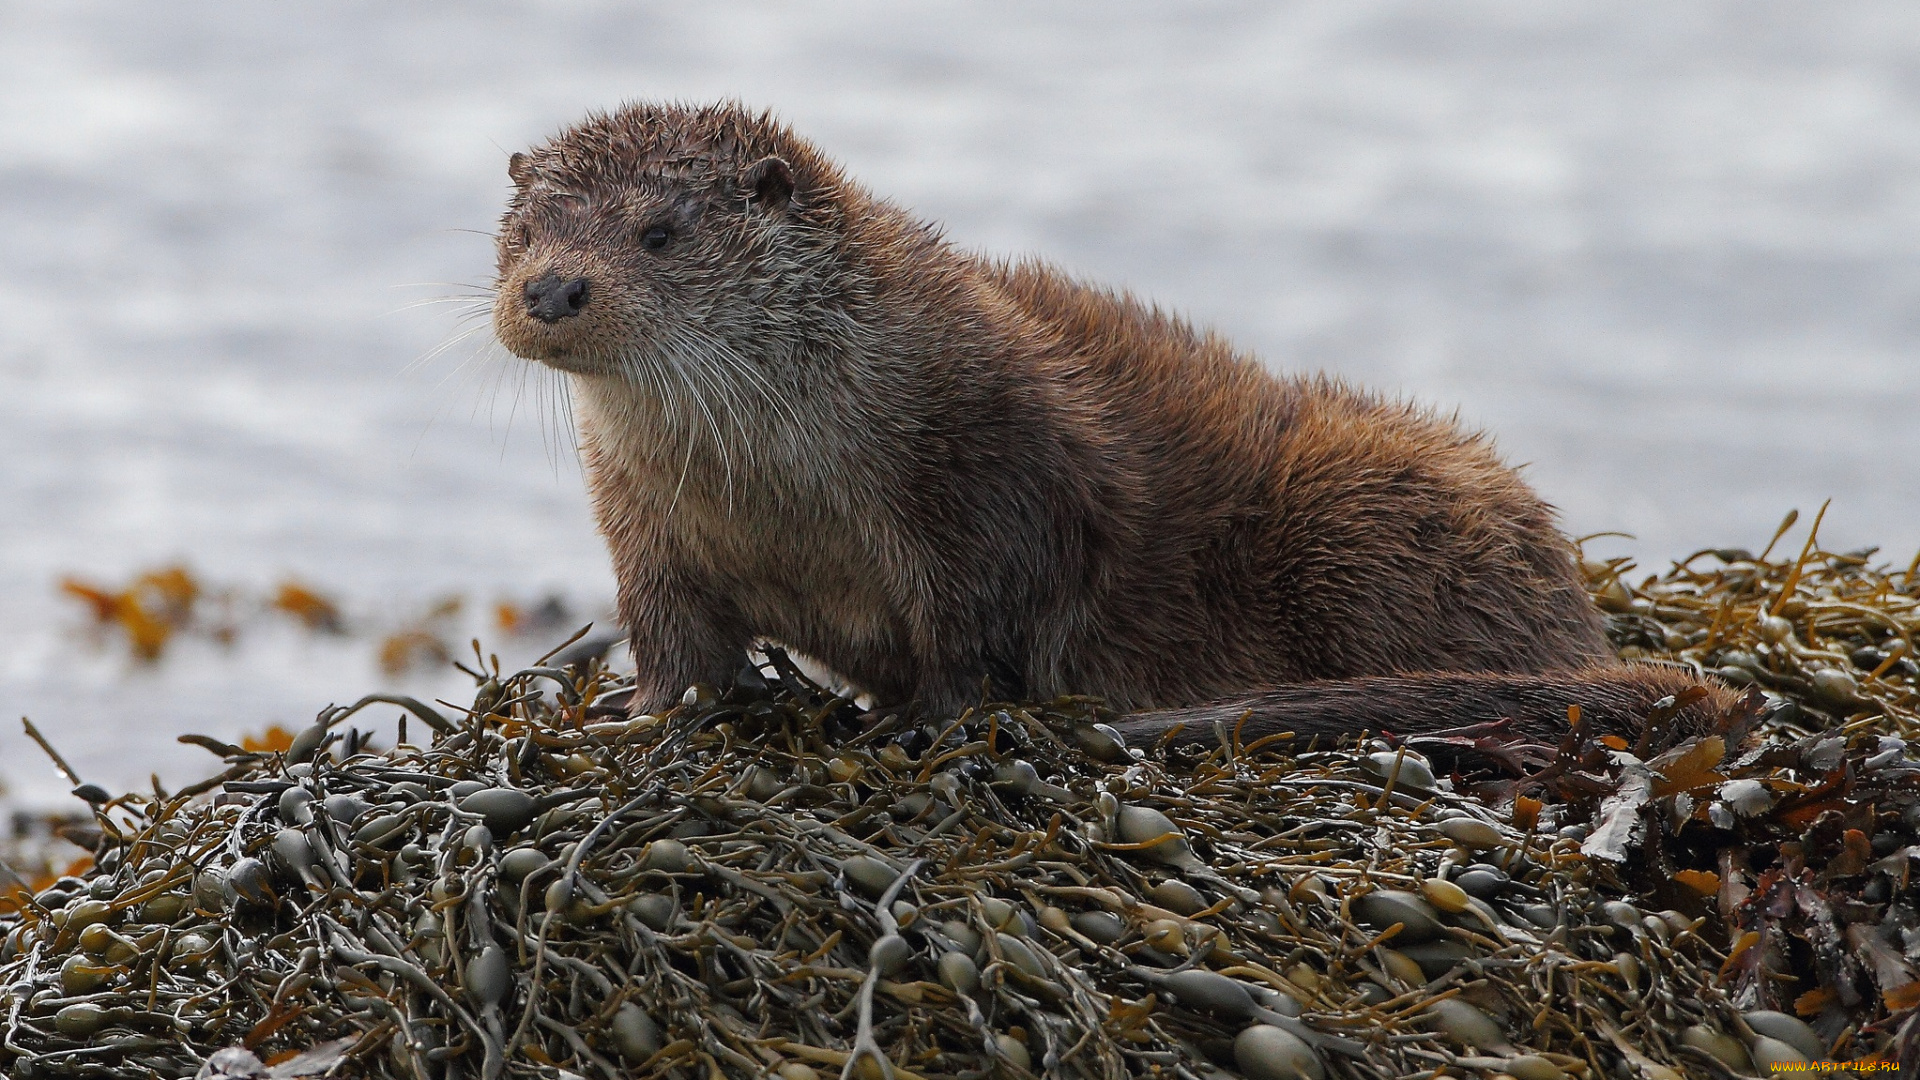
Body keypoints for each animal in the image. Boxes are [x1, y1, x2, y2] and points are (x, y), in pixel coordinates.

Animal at [487, 100, 1735, 737]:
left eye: (658, 234)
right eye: (525, 230)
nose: (552, 289)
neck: (776, 486)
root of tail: (1573, 608)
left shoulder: (988, 465)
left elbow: (983, 625)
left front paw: (923, 723)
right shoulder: (642, 519)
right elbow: (673, 633)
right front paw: (637, 716)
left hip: (1357, 508)